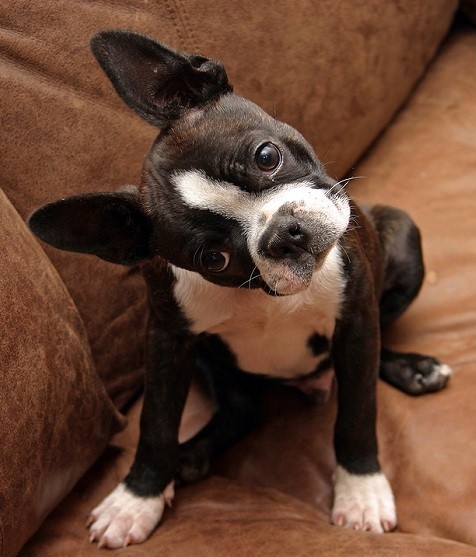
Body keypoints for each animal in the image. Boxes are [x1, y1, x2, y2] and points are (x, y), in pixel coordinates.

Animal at [27, 30, 452, 548]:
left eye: (266, 156)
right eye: (214, 258)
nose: (284, 232)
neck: (262, 296)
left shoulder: (354, 317)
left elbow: (357, 409)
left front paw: (361, 491)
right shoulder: (167, 339)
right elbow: (156, 422)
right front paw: (137, 498)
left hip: (402, 238)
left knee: (365, 357)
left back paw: (414, 369)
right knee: (245, 407)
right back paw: (190, 457)